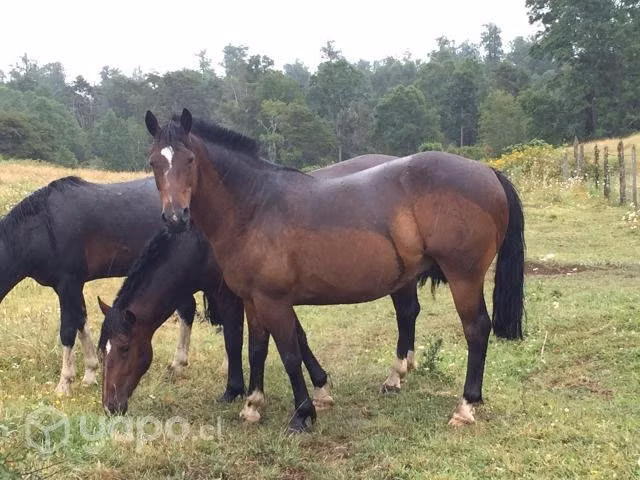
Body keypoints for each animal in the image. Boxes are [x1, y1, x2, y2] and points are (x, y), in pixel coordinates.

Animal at [0, 176, 216, 394]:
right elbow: (81, 323)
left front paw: (64, 384)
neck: (44, 225)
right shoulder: (73, 286)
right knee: (187, 309)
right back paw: (177, 365)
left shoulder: (68, 283)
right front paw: (90, 374)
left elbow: (68, 331)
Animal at [145, 109, 524, 431]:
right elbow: (257, 350)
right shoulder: (253, 300)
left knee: (476, 330)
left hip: (464, 278)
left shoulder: (273, 301)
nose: (175, 217)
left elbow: (289, 354)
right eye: (153, 162)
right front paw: (253, 405)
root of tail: (487, 170)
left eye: (190, 160)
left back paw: (466, 406)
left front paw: (303, 414)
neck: (254, 206)